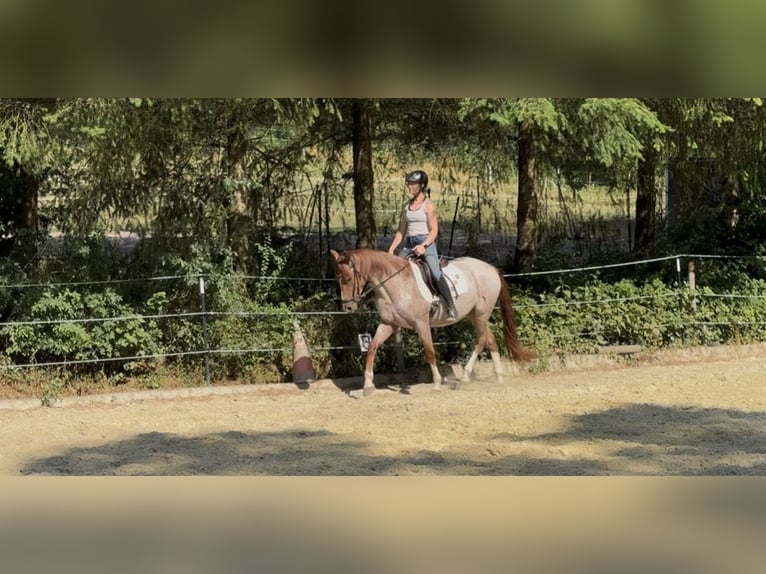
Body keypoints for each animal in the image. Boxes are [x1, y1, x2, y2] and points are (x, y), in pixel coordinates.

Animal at [330, 248, 535, 395]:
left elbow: (429, 352)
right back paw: (498, 377)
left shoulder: (421, 324)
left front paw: (436, 384)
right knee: (489, 339)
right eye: (337, 279)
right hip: (474, 316)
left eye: (348, 278)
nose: (348, 307)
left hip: (481, 314)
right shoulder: (389, 323)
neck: (395, 284)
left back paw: (465, 377)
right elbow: (372, 348)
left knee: (481, 340)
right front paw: (368, 386)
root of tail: (491, 268)